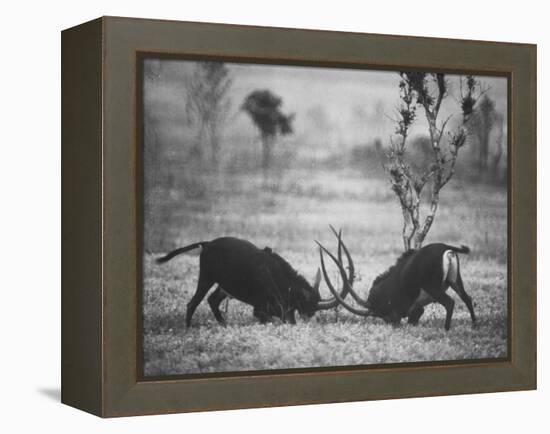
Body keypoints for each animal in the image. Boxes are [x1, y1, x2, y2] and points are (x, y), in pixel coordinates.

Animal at [157, 237, 352, 326]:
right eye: (307, 304)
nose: (309, 317)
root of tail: (207, 243)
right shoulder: (260, 310)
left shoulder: (284, 311)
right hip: (206, 277)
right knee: (193, 303)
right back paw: (189, 329)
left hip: (223, 287)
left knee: (212, 300)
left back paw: (224, 326)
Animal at [320, 232, 478, 330]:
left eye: (381, 312)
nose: (391, 322)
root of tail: (445, 247)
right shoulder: (416, 308)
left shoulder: (408, 307)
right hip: (455, 281)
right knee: (467, 298)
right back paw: (474, 325)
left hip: (433, 288)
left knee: (450, 303)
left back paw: (446, 329)